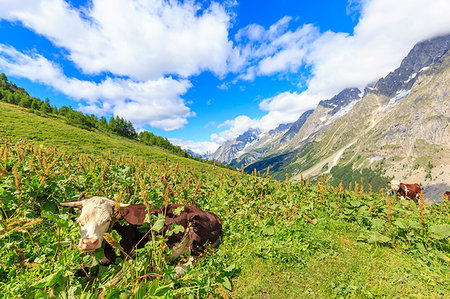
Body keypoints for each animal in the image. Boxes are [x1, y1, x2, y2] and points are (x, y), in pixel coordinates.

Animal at [59, 195, 221, 278]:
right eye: (79, 221)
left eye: (107, 220)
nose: (89, 242)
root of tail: (212, 215)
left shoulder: (118, 255)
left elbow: (81, 270)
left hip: (196, 231)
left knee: (194, 260)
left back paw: (172, 271)